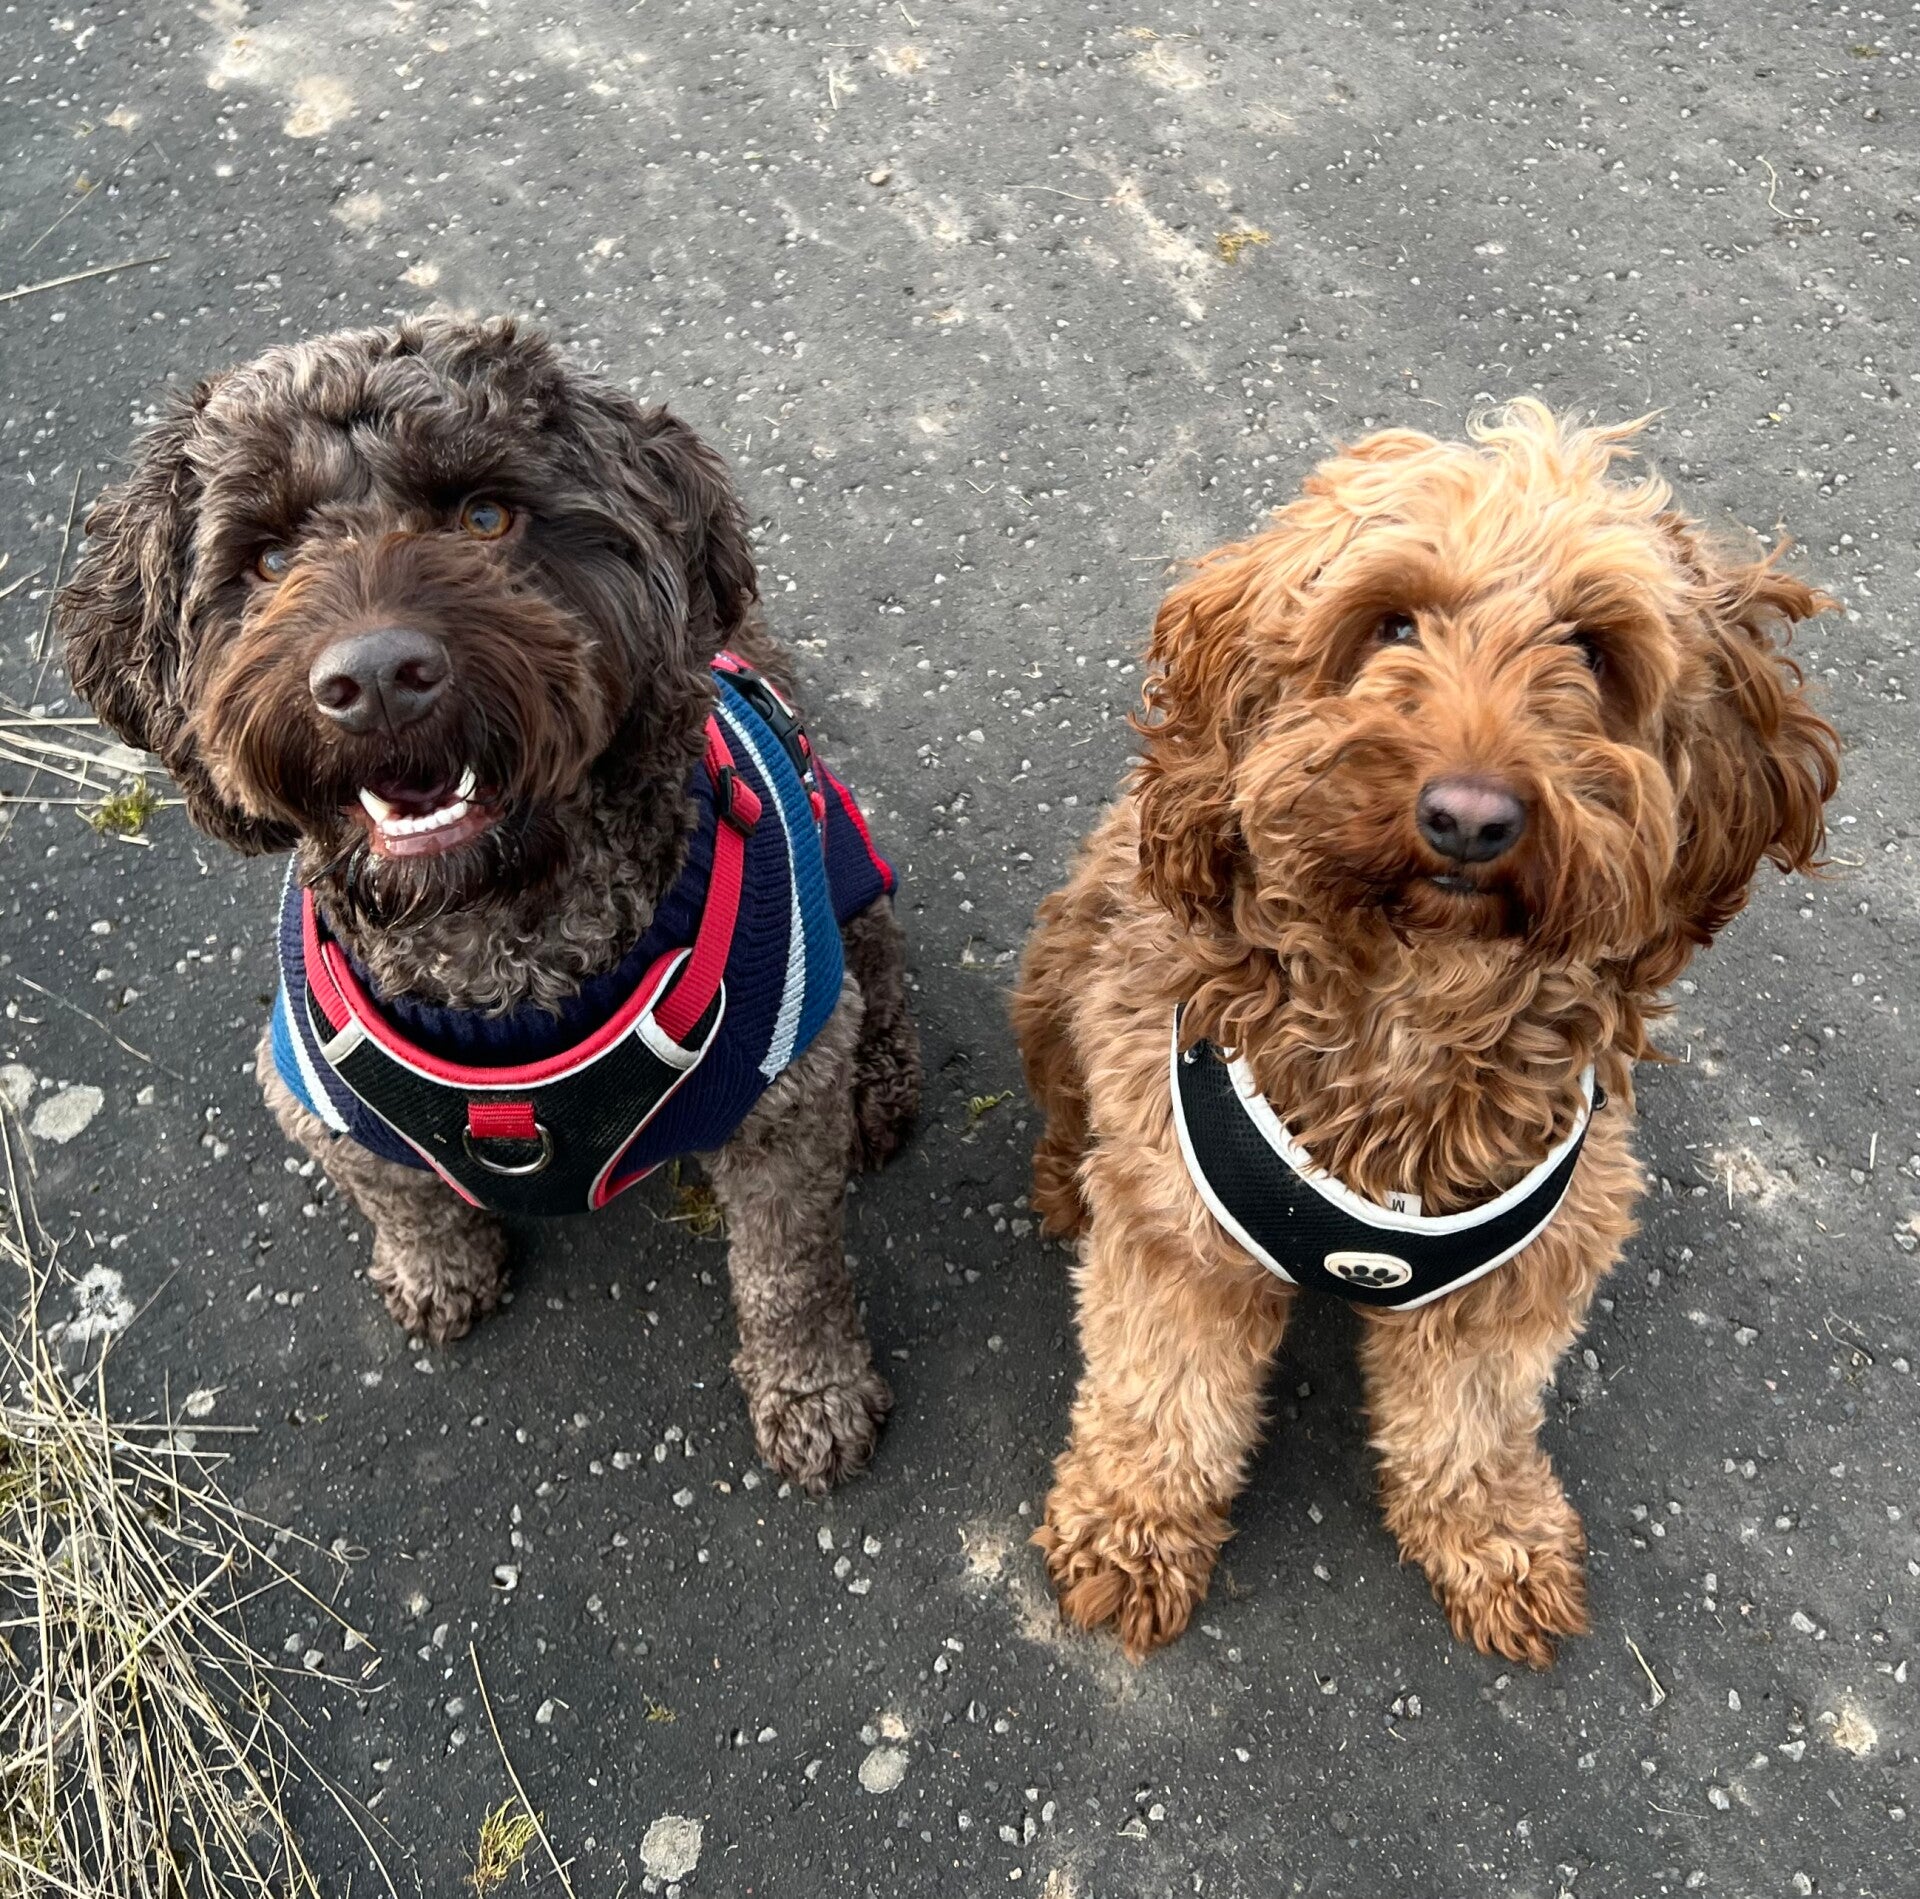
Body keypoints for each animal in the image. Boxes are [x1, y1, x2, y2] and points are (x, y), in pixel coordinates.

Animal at [59, 315, 920, 1496]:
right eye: (269, 557)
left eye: (483, 516)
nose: (377, 677)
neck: (499, 952)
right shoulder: (308, 1094)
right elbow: (398, 1195)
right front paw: (439, 1269)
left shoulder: (784, 1098)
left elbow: (793, 1274)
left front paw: (815, 1391)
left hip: (847, 905)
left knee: (879, 986)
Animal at [1013, 402, 1837, 1663]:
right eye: (1391, 622)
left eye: (1592, 650)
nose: (1470, 817)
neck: (1415, 1000)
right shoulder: (1178, 1241)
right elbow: (1165, 1400)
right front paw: (1132, 1534)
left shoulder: (1519, 1278)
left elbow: (1471, 1422)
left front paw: (1494, 1541)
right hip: (1064, 976)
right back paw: (1062, 1179)